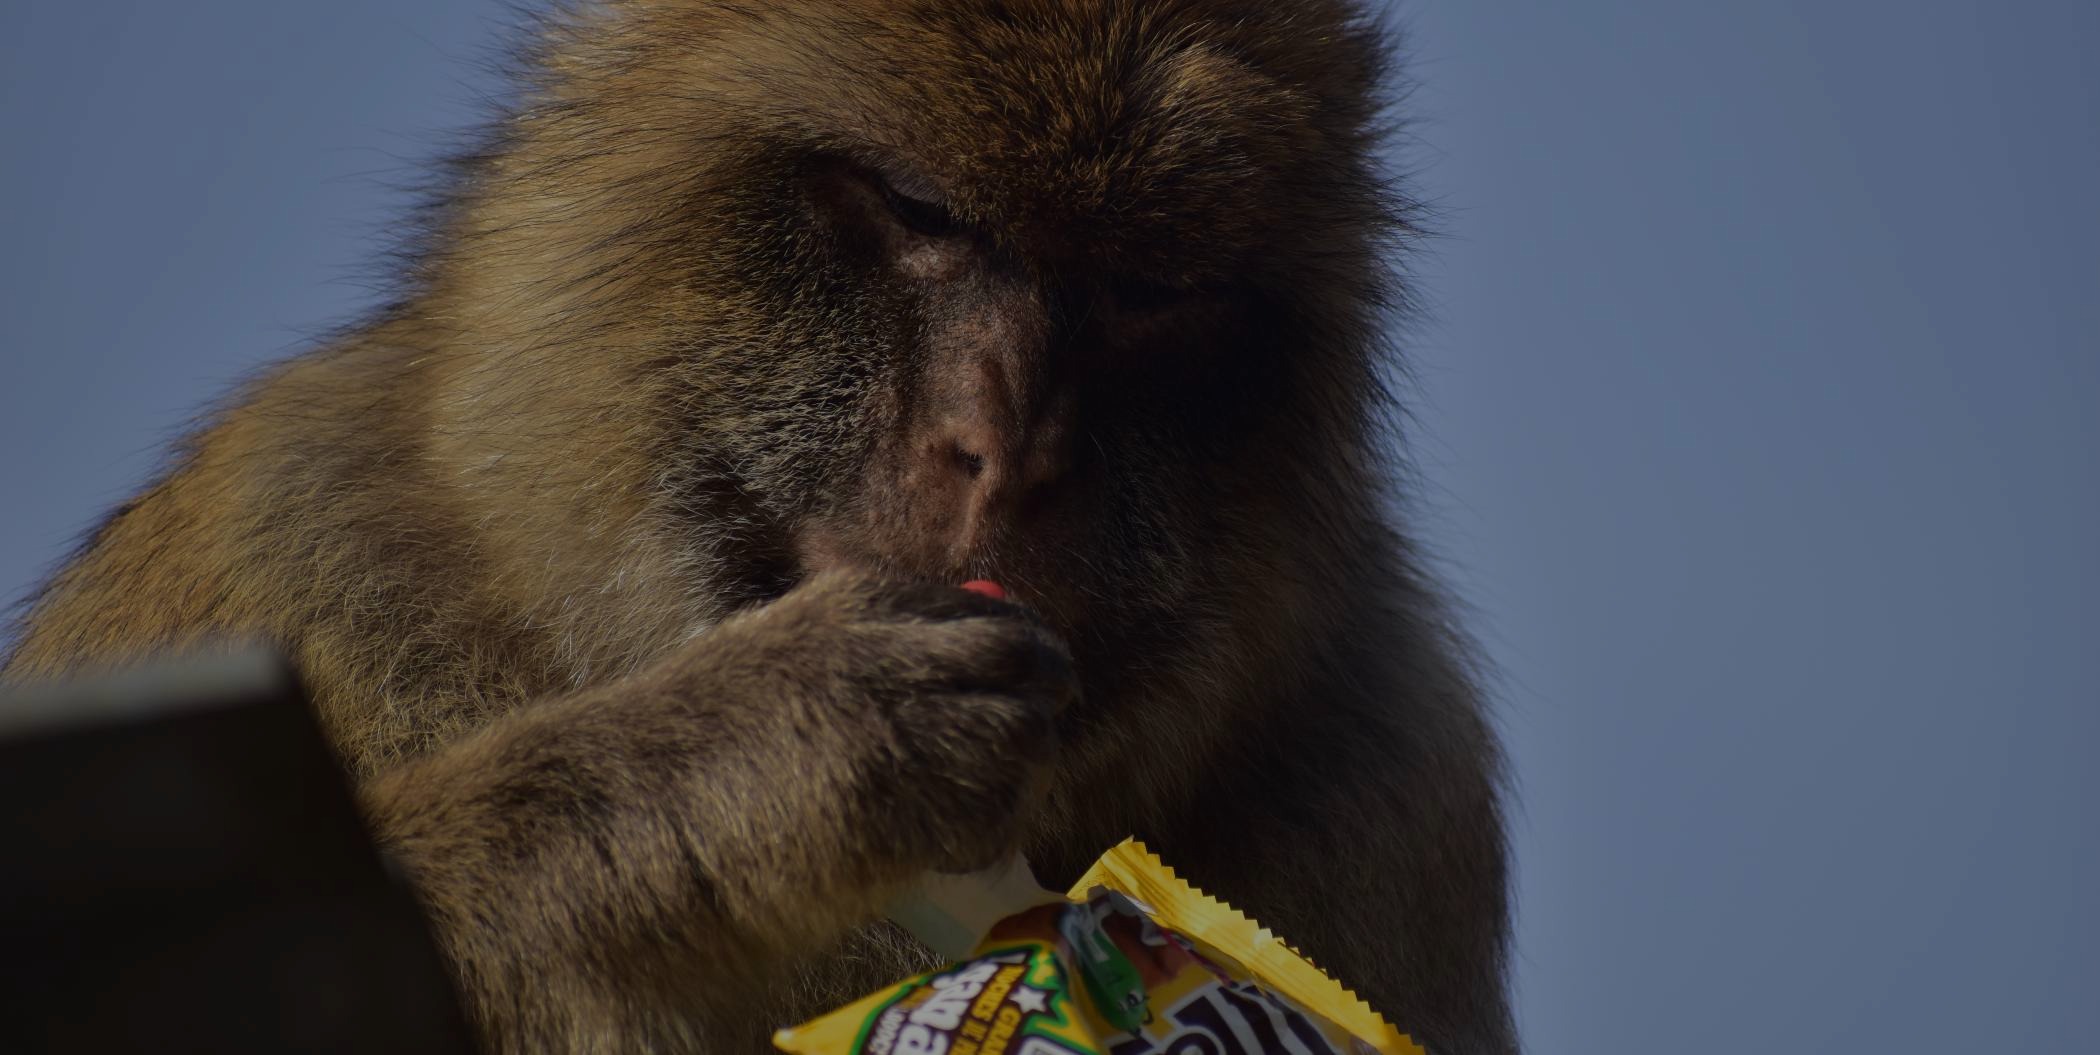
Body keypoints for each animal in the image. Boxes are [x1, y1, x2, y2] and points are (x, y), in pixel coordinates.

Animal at [1, 1, 1516, 1052]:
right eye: (919, 210)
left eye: (1149, 289)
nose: (1002, 453)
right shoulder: (287, 538)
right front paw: (750, 745)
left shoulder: (1393, 772)